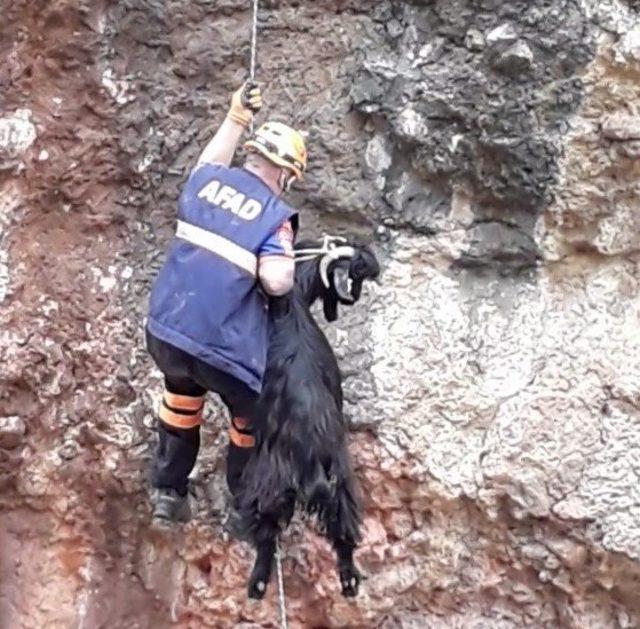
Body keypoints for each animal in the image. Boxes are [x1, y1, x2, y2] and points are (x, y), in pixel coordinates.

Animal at [235, 237, 380, 600]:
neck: (291, 305)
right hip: (341, 476)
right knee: (344, 525)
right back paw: (349, 581)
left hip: (270, 476)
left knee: (266, 529)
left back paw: (258, 583)